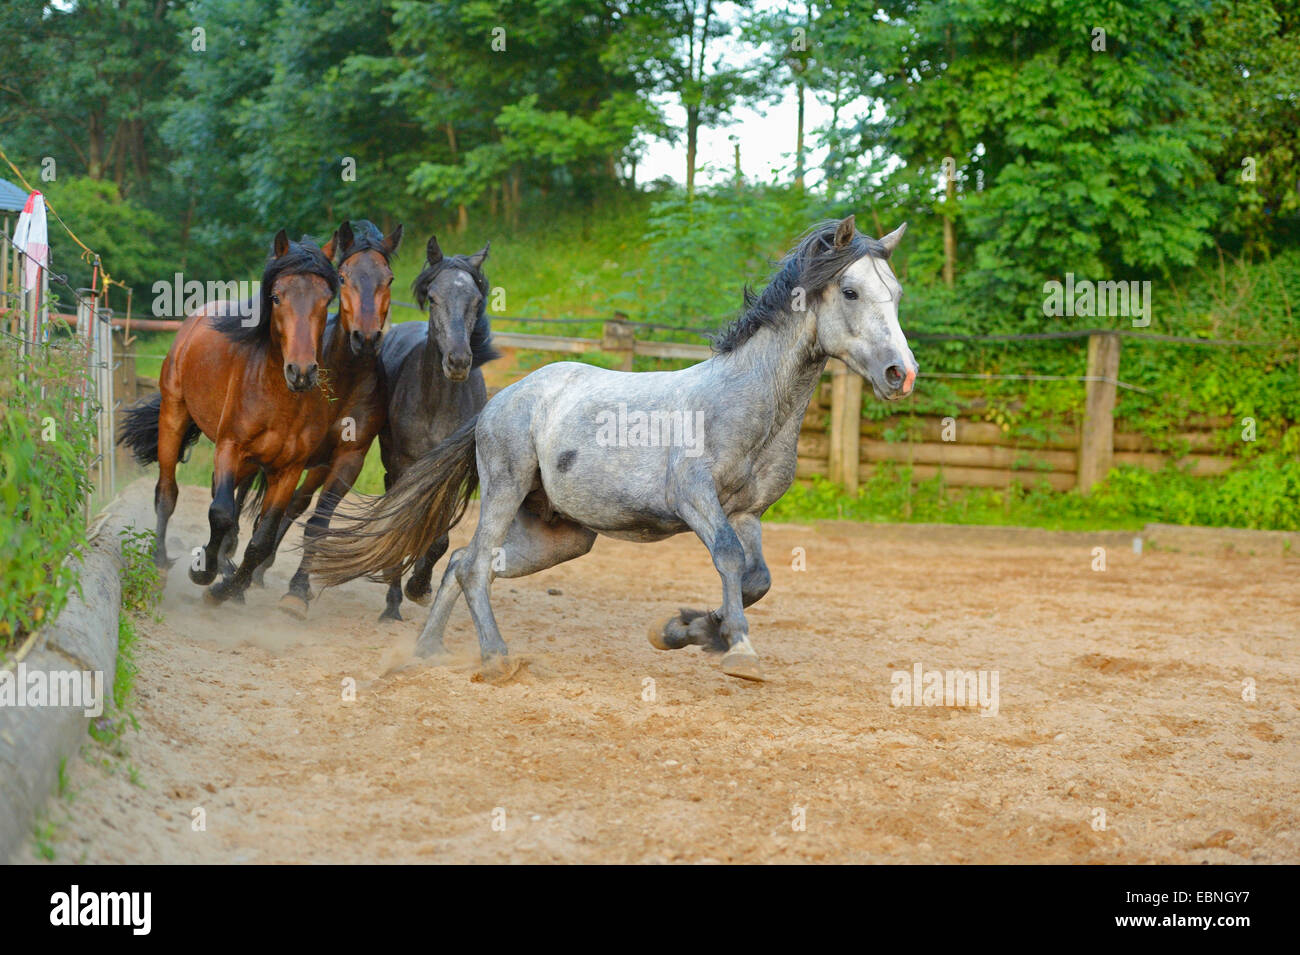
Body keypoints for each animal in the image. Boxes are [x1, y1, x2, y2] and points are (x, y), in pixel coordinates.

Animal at [117, 229, 340, 605]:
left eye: (327, 300)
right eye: (276, 297)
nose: (301, 372)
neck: (280, 399)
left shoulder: (288, 468)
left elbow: (262, 537)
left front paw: (227, 589)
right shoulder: (229, 447)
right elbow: (220, 514)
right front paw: (203, 572)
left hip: (249, 464)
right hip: (174, 416)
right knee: (167, 492)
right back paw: (160, 563)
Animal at [310, 216, 920, 680]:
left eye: (896, 294)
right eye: (850, 292)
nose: (902, 374)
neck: (748, 402)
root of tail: (501, 400)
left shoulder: (750, 513)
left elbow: (756, 579)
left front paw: (686, 630)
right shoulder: (695, 498)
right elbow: (727, 559)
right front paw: (738, 650)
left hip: (564, 536)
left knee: (461, 562)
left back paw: (427, 651)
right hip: (505, 488)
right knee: (476, 564)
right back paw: (497, 659)